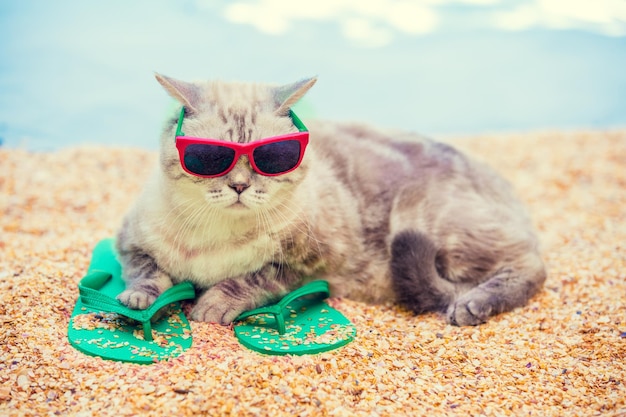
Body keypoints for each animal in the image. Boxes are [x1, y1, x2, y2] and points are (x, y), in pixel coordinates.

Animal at [114, 73, 544, 324]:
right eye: (209, 158)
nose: (239, 186)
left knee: (529, 267)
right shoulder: (131, 245)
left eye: (271, 158)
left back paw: (470, 306)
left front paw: (213, 305)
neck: (216, 237)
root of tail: (498, 182)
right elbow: (147, 274)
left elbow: (249, 279)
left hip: (430, 225)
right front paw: (136, 299)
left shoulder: (308, 266)